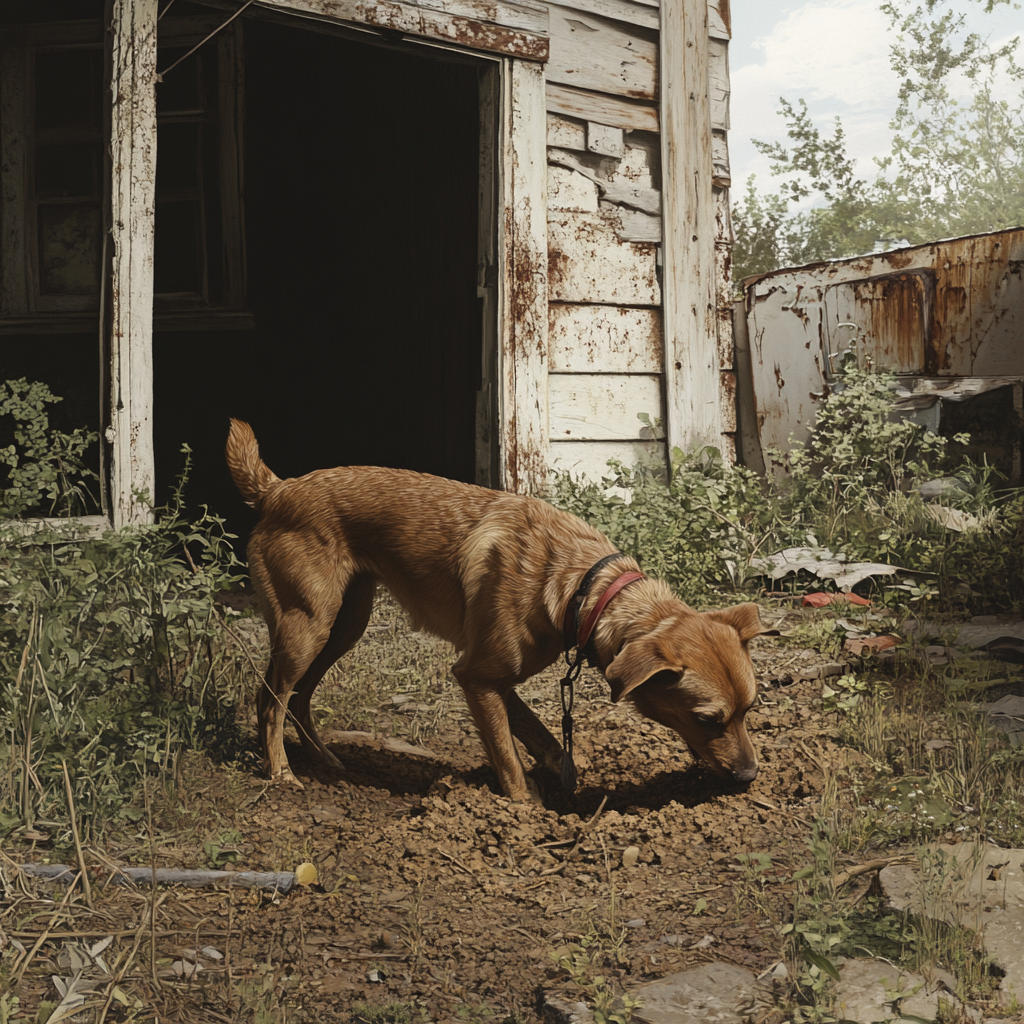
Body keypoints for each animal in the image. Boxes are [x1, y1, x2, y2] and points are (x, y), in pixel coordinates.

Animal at [224, 419, 770, 802]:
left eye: (750, 711)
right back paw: (281, 774)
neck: (579, 587)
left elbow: (538, 734)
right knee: (270, 700)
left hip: (344, 625)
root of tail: (277, 488)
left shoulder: (494, 679)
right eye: (707, 719)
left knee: (295, 698)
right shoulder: (476, 677)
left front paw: (562, 776)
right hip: (308, 625)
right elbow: (508, 758)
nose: (749, 776)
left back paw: (325, 762)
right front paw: (524, 811)